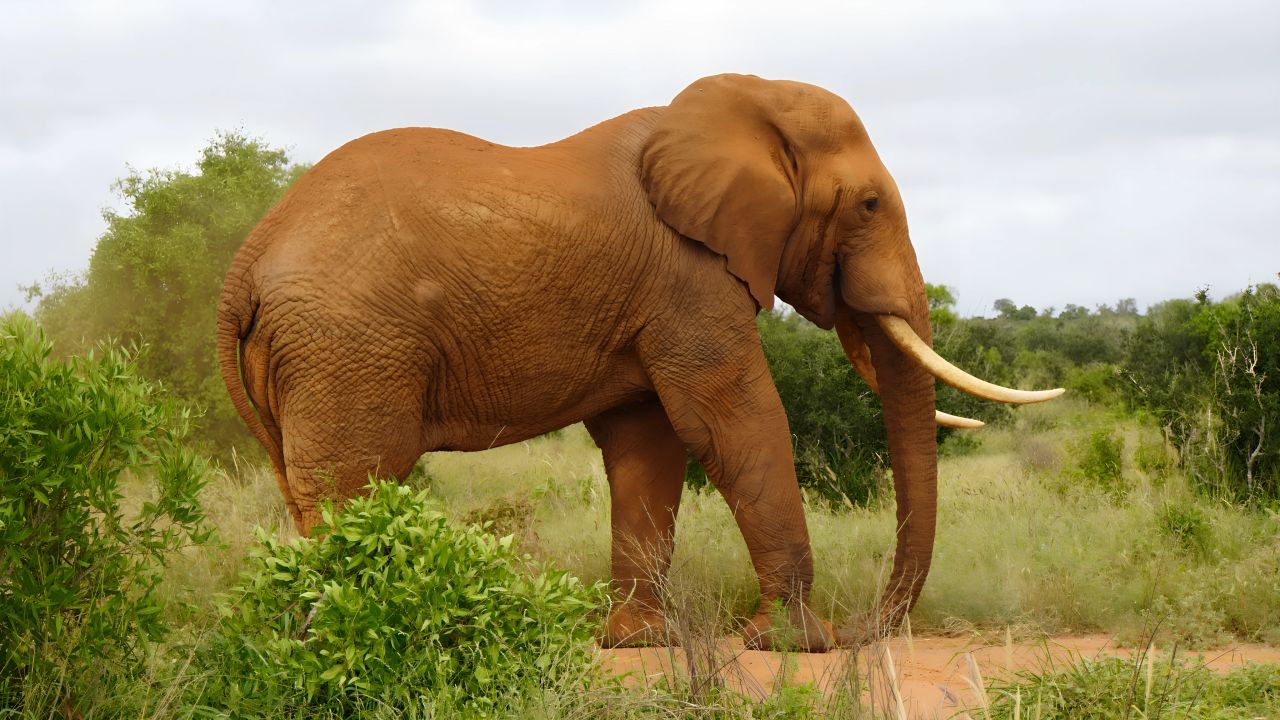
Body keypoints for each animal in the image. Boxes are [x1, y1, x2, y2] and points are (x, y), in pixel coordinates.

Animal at [216, 74, 1062, 652]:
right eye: (870, 206)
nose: (868, 630)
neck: (735, 111)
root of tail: (247, 261)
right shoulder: (690, 277)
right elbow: (731, 419)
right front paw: (798, 645)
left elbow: (648, 443)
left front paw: (639, 643)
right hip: (348, 344)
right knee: (359, 481)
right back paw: (345, 638)